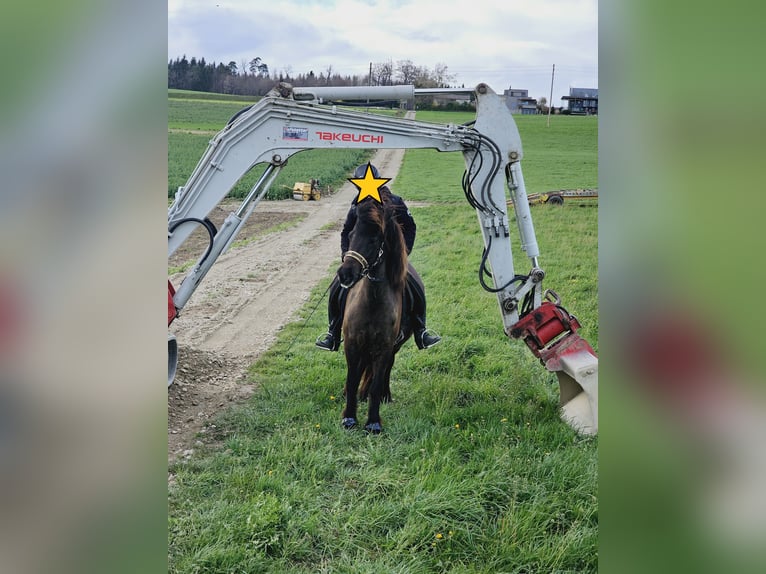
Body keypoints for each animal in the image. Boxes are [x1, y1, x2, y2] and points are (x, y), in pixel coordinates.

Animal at [338, 196, 414, 434]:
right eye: (351, 235)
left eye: (374, 240)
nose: (345, 274)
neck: (372, 302)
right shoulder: (352, 343)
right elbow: (352, 379)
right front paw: (349, 417)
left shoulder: (384, 347)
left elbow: (377, 382)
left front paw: (373, 422)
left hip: (394, 346)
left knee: (386, 369)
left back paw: (385, 396)